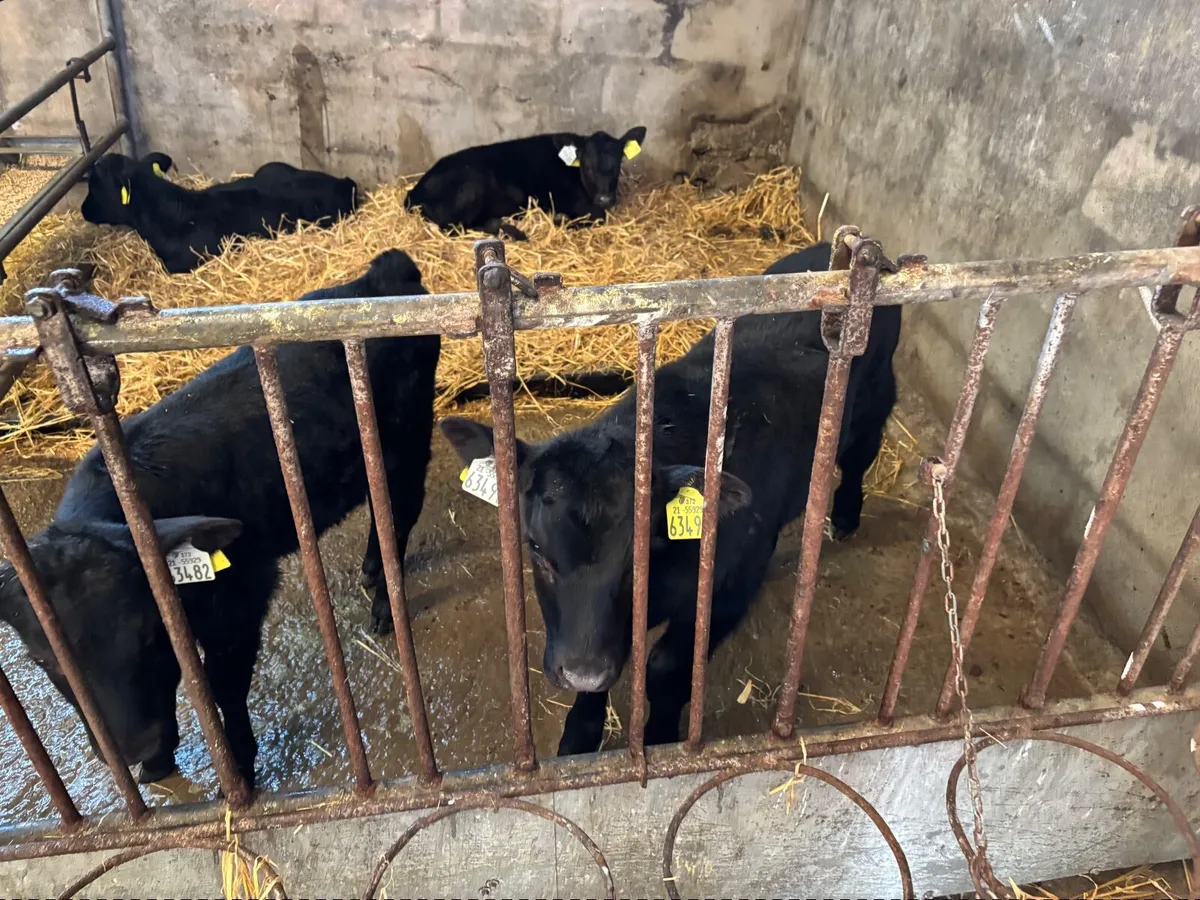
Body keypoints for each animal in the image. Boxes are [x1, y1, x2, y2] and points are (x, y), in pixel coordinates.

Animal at [0, 250, 439, 788]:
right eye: (45, 660)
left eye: (147, 632)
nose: (135, 746)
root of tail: (382, 274)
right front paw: (159, 766)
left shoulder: (243, 591)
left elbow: (224, 683)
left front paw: (241, 769)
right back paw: (372, 572)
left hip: (406, 440)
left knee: (401, 509)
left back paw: (383, 605)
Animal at [404, 127, 647, 240]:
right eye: (587, 166)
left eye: (617, 164)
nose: (605, 198)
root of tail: (414, 191)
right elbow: (598, 216)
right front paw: (560, 221)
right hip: (470, 186)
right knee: (456, 228)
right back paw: (514, 232)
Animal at [439, 241, 901, 755]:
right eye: (535, 548)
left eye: (638, 555)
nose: (581, 671)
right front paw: (579, 734)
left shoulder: (731, 586)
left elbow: (665, 670)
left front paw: (660, 736)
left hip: (875, 402)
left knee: (859, 458)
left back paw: (844, 515)